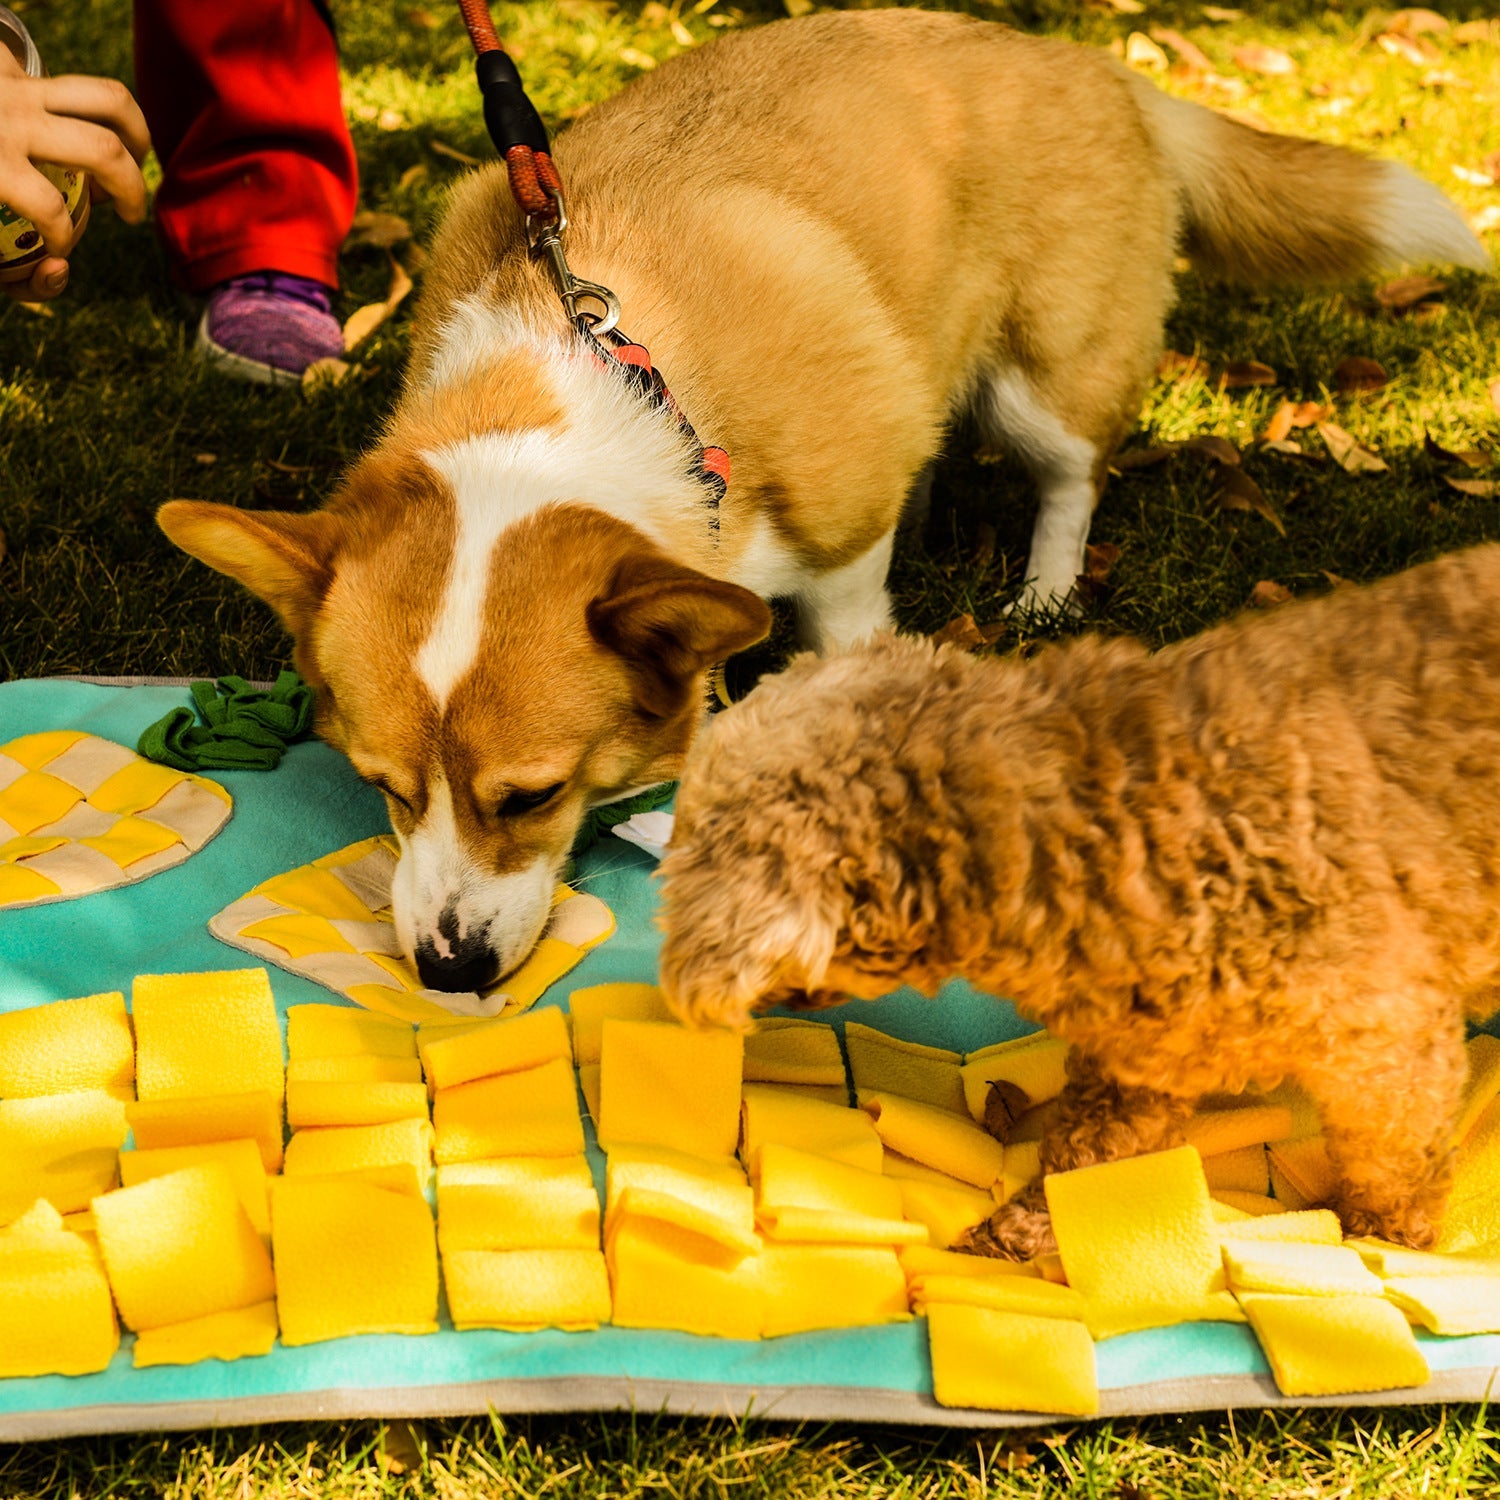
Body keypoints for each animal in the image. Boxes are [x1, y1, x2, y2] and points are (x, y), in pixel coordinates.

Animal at [155, 11, 1488, 1002]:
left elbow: (845, 638)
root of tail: (1102, 68)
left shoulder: (842, 545)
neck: (601, 370)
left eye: (530, 798)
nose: (444, 973)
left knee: (1069, 472)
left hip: (1041, 379)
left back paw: (1046, 592)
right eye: (381, 785)